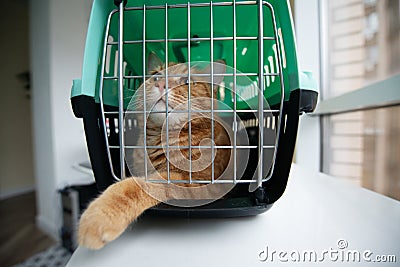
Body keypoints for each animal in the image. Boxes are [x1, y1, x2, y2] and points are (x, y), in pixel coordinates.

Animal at [78, 55, 233, 251]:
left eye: (187, 81)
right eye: (156, 76)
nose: (161, 84)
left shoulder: (200, 184)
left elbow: (138, 186)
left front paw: (101, 215)